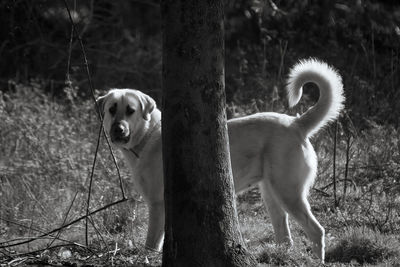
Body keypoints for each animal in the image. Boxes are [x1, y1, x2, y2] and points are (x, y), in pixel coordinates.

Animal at [96, 59, 344, 262]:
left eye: (131, 110)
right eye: (112, 109)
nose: (118, 130)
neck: (149, 135)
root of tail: (296, 124)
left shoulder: (158, 206)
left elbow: (150, 245)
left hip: (288, 193)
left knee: (316, 231)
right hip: (272, 196)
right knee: (286, 238)